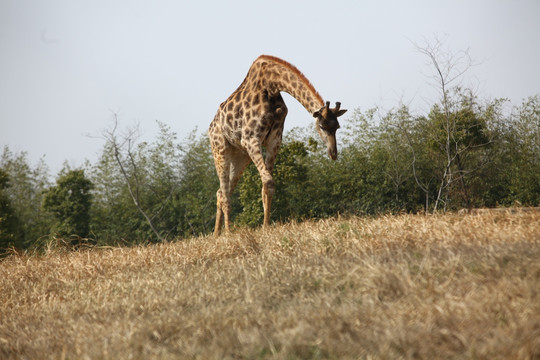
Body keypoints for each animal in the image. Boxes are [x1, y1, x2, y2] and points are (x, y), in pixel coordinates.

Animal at [207, 54, 346, 236]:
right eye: (322, 126)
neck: (271, 86)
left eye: (337, 127)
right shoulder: (251, 138)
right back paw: (228, 233)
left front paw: (266, 226)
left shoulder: (274, 139)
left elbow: (268, 185)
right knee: (224, 194)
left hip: (241, 156)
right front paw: (265, 226)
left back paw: (217, 234)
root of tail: (211, 127)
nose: (333, 153)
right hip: (220, 148)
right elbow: (268, 182)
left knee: (221, 191)